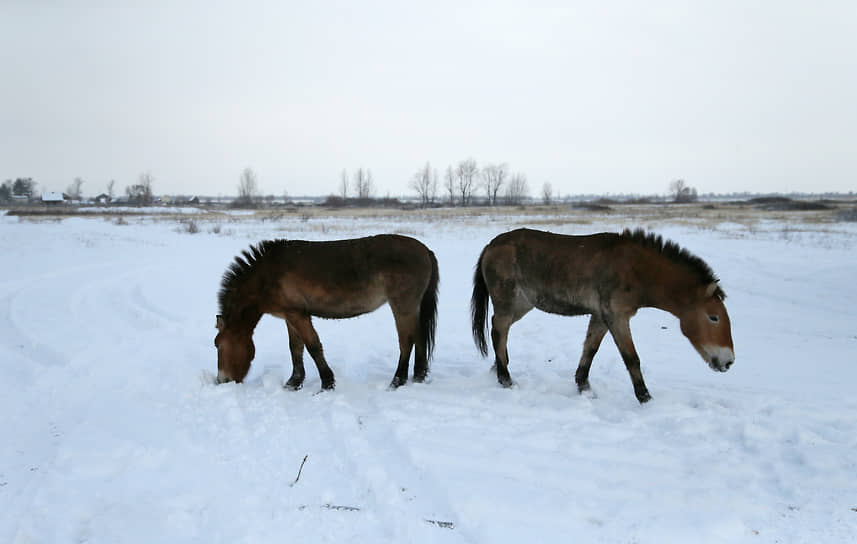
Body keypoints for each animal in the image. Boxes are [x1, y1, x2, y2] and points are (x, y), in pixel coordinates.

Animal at [214, 236, 442, 388]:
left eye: (218, 344)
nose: (222, 380)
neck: (266, 276)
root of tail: (425, 251)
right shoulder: (290, 315)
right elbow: (295, 348)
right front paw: (293, 382)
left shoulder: (299, 315)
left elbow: (313, 346)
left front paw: (327, 382)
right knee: (419, 338)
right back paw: (418, 376)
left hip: (402, 306)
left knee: (406, 341)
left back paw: (397, 380)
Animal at [472, 227, 732, 402]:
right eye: (714, 317)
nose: (728, 362)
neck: (635, 269)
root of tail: (490, 246)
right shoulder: (616, 316)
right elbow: (631, 358)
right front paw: (645, 398)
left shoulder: (600, 316)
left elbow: (590, 349)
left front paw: (584, 387)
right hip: (508, 303)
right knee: (498, 331)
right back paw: (505, 378)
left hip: (521, 305)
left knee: (500, 332)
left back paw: (499, 368)